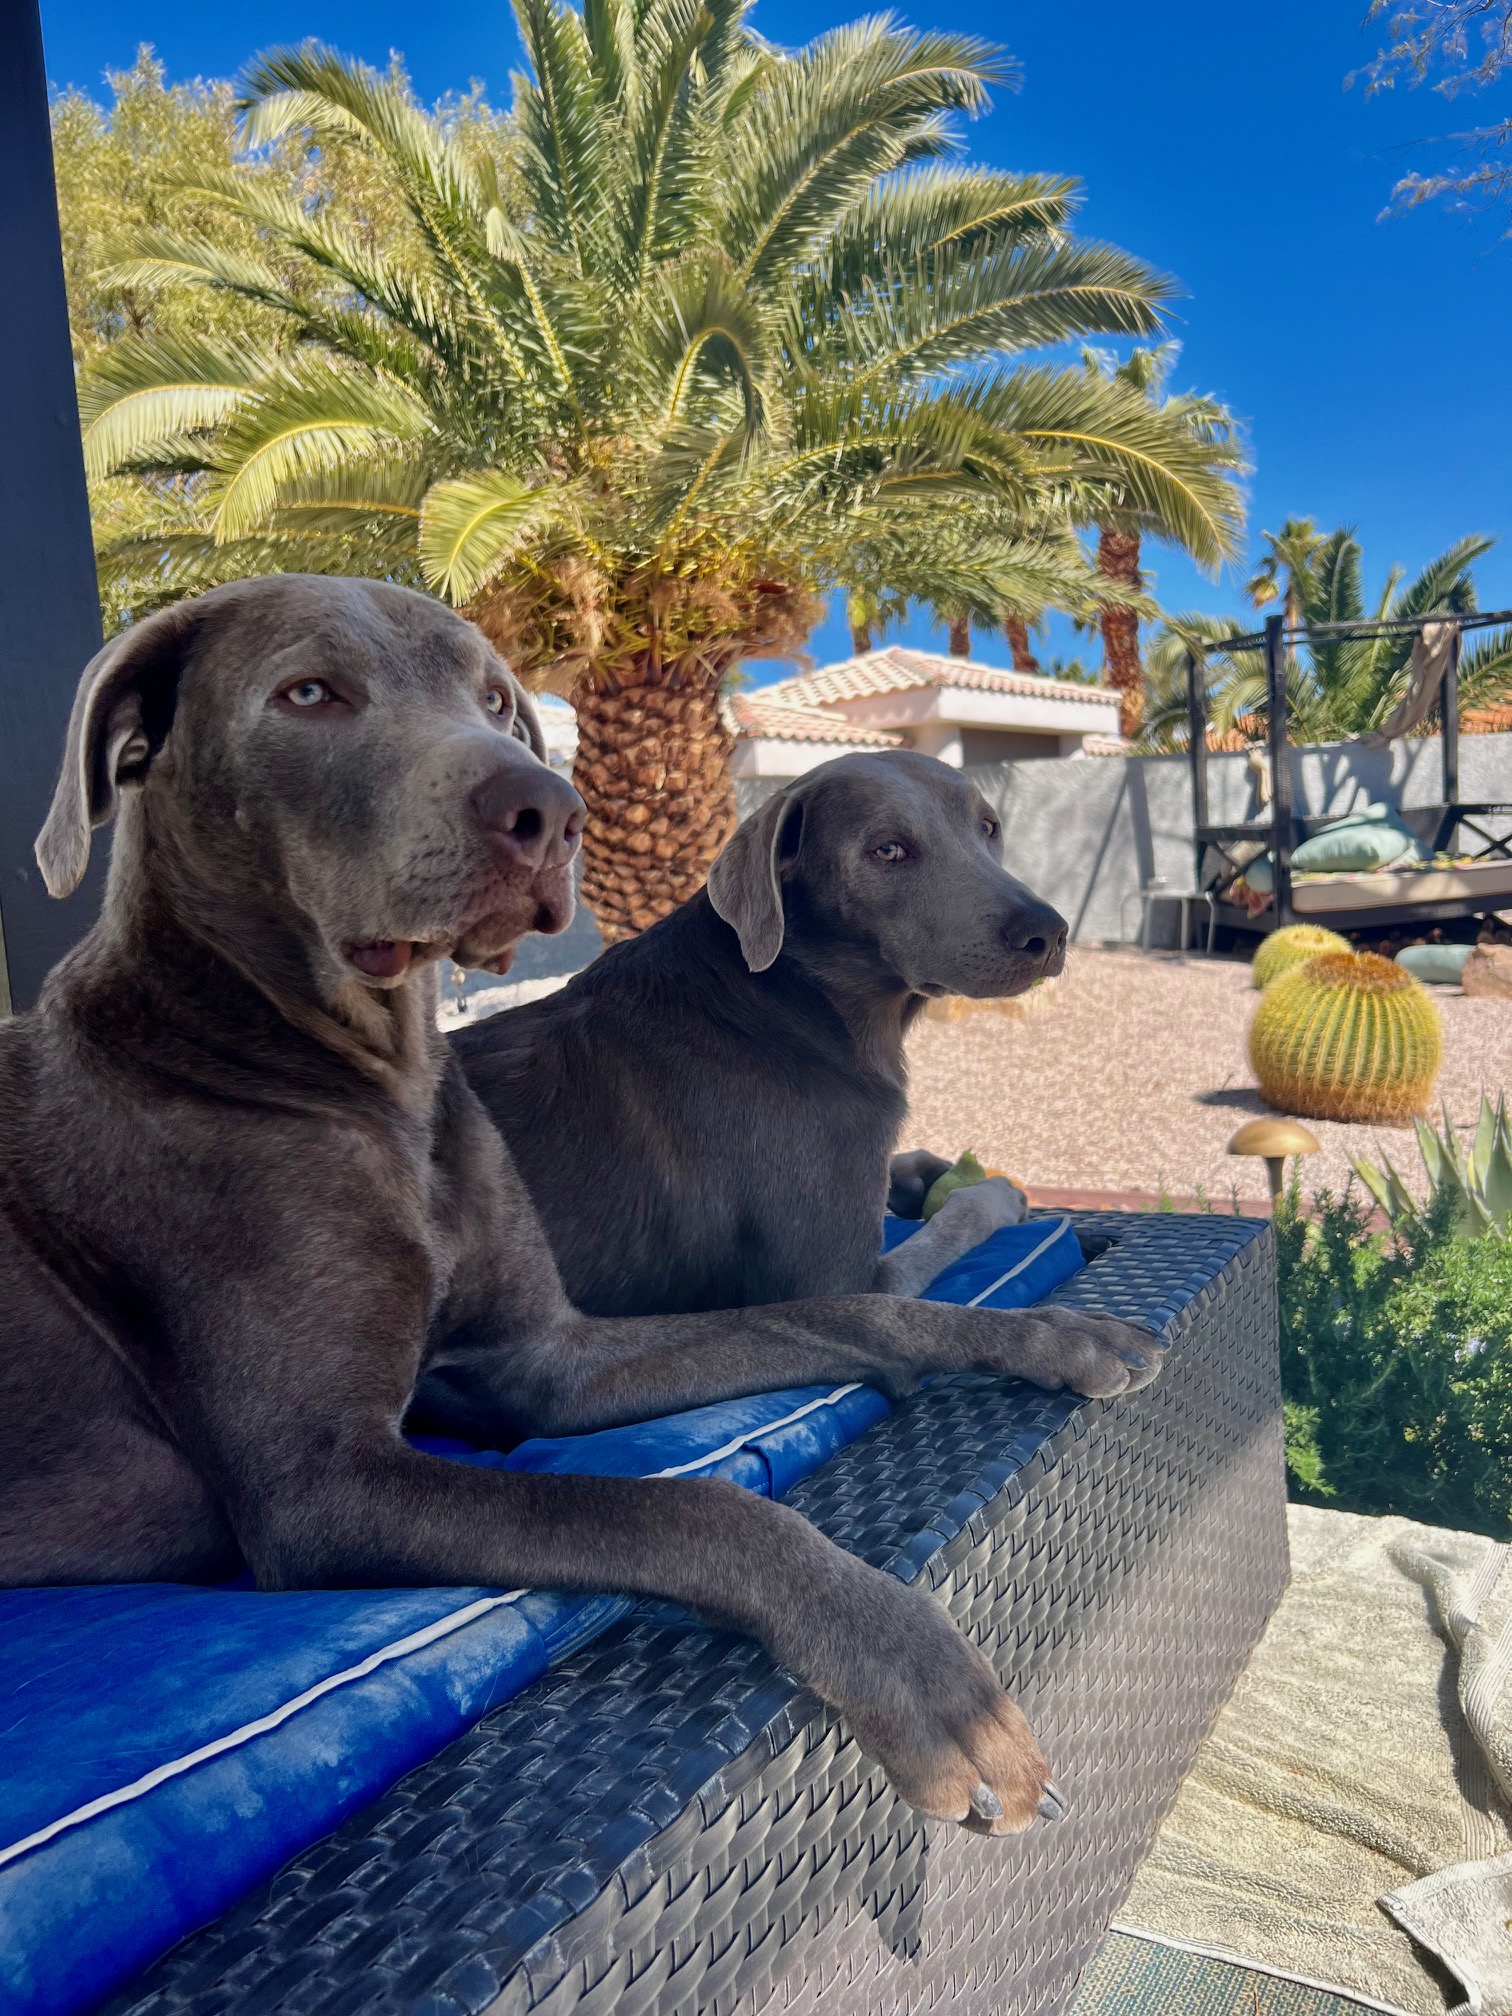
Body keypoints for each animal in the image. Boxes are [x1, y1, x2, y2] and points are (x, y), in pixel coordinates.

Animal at [453, 758, 1064, 1322]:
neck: (797, 1002)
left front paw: (925, 1172)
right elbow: (961, 1216)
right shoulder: (841, 1284)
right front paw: (995, 1193)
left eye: (988, 827)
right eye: (888, 850)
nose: (1049, 932)